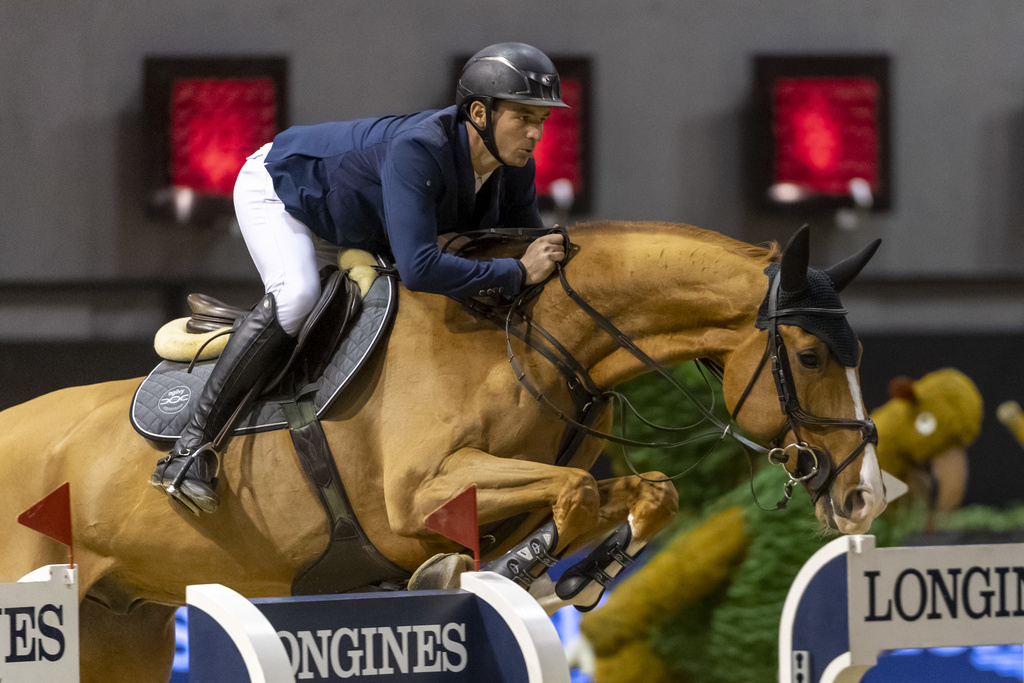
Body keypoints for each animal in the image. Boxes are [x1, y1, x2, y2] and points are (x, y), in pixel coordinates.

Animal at [0, 222, 884, 679]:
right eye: (810, 355)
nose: (866, 496)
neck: (531, 337)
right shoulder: (418, 495)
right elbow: (572, 492)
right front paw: (509, 571)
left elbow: (636, 491)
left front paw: (572, 573)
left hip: (123, 628)